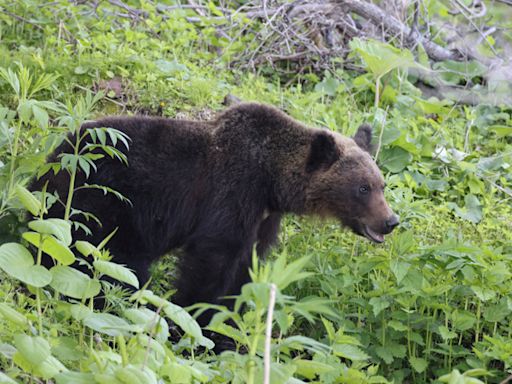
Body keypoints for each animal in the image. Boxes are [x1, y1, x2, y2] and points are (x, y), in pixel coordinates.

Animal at [30, 102, 400, 320]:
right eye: (363, 188)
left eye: (381, 184)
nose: (391, 220)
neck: (272, 182)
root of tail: (54, 158)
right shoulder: (231, 192)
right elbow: (213, 258)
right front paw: (193, 316)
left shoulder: (263, 218)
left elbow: (246, 266)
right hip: (102, 200)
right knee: (104, 260)